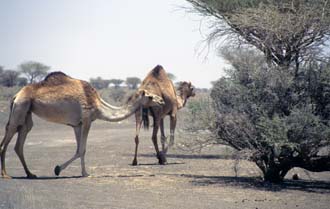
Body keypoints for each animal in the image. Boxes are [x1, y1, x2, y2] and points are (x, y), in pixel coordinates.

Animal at [0, 71, 164, 178]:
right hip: (20, 108)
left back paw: (30, 174)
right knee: (7, 140)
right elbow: (82, 150)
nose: (162, 101)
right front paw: (62, 170)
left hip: (26, 113)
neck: (98, 105)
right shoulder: (86, 121)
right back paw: (6, 175)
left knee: (19, 143)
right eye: (150, 97)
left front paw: (80, 171)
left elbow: (79, 150)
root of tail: (16, 95)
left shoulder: (77, 125)